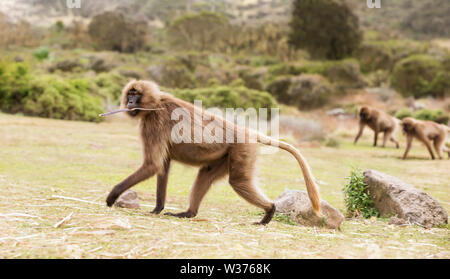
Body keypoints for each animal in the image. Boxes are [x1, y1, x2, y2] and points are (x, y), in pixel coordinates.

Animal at [105, 80, 320, 225]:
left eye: (135, 95)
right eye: (130, 94)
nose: (129, 103)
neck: (156, 103)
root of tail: (245, 131)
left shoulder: (153, 124)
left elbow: (153, 165)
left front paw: (112, 196)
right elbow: (162, 166)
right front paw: (158, 208)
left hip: (242, 149)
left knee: (238, 181)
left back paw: (269, 211)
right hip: (224, 157)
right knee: (205, 175)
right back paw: (188, 213)